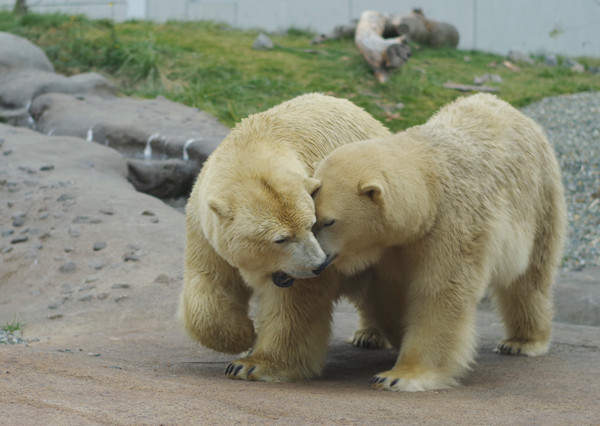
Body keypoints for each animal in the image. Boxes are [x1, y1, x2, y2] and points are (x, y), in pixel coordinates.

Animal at [180, 94, 392, 382]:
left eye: (312, 225)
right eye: (280, 239)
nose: (319, 265)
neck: (256, 143)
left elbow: (294, 304)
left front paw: (252, 364)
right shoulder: (204, 227)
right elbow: (210, 282)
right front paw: (244, 336)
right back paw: (368, 334)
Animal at [314, 94, 568, 392]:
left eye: (328, 221)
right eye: (310, 217)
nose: (315, 261)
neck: (430, 183)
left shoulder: (452, 224)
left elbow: (439, 293)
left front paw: (399, 375)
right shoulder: (391, 244)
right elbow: (390, 289)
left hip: (539, 202)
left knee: (529, 279)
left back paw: (522, 342)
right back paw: (368, 335)